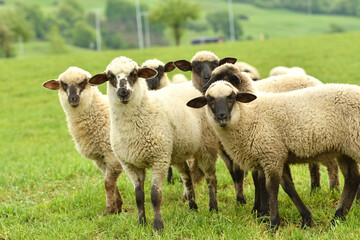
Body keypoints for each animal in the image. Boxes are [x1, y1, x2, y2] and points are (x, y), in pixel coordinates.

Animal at [41, 66, 124, 215]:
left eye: (83, 82)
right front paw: (118, 208)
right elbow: (112, 183)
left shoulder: (111, 154)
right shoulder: (101, 158)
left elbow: (108, 183)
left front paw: (108, 211)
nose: (73, 98)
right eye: (63, 84)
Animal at [187, 63, 360, 229]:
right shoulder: (275, 155)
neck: (248, 116)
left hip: (354, 145)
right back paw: (337, 219)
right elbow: (288, 187)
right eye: (209, 100)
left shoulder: (271, 155)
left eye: (232, 97)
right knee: (352, 179)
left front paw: (271, 222)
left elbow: (271, 187)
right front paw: (306, 219)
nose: (221, 117)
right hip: (345, 150)